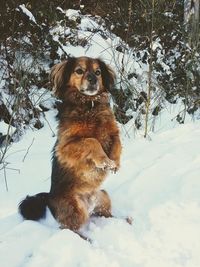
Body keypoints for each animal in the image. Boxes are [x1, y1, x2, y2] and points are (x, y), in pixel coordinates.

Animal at [18, 56, 122, 234]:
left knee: (105, 215)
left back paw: (124, 221)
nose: (93, 79)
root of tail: (49, 196)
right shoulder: (65, 147)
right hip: (75, 209)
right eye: (79, 71)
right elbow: (91, 141)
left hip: (103, 196)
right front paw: (104, 161)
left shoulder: (113, 132)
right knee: (70, 229)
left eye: (98, 72)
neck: (89, 105)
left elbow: (117, 144)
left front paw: (114, 163)